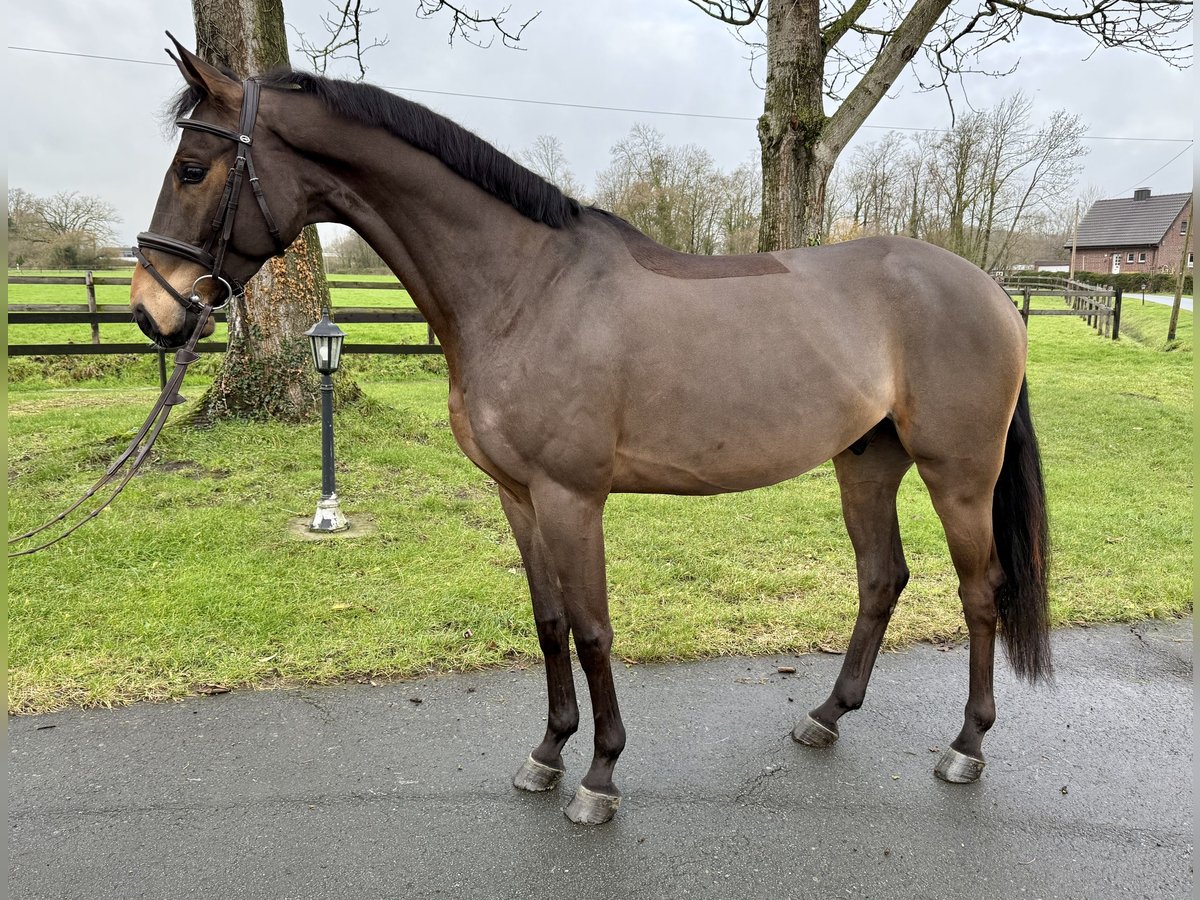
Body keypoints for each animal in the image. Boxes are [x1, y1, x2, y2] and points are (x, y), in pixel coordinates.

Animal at [131, 38, 1050, 826]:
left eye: (193, 168)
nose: (152, 311)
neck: (526, 289)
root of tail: (992, 291)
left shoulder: (573, 496)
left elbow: (595, 628)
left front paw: (600, 777)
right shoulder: (518, 496)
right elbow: (549, 624)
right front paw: (547, 754)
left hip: (958, 473)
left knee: (980, 593)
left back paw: (966, 747)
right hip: (865, 462)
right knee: (880, 579)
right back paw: (827, 715)